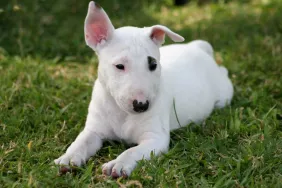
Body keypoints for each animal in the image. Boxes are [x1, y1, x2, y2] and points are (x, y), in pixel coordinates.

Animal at [54, 1, 234, 178]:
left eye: (153, 65)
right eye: (119, 66)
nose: (142, 105)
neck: (122, 112)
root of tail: (197, 47)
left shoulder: (155, 139)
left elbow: (132, 151)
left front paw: (118, 164)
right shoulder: (94, 130)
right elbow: (80, 142)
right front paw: (68, 158)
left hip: (223, 93)